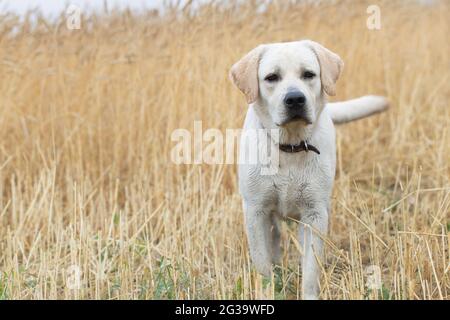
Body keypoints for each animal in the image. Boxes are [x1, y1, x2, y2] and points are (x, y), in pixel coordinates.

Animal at [230, 40, 388, 300]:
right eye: (271, 77)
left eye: (308, 74)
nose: (295, 99)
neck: (290, 145)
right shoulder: (255, 212)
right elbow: (263, 267)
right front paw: (268, 293)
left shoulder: (314, 215)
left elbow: (311, 271)